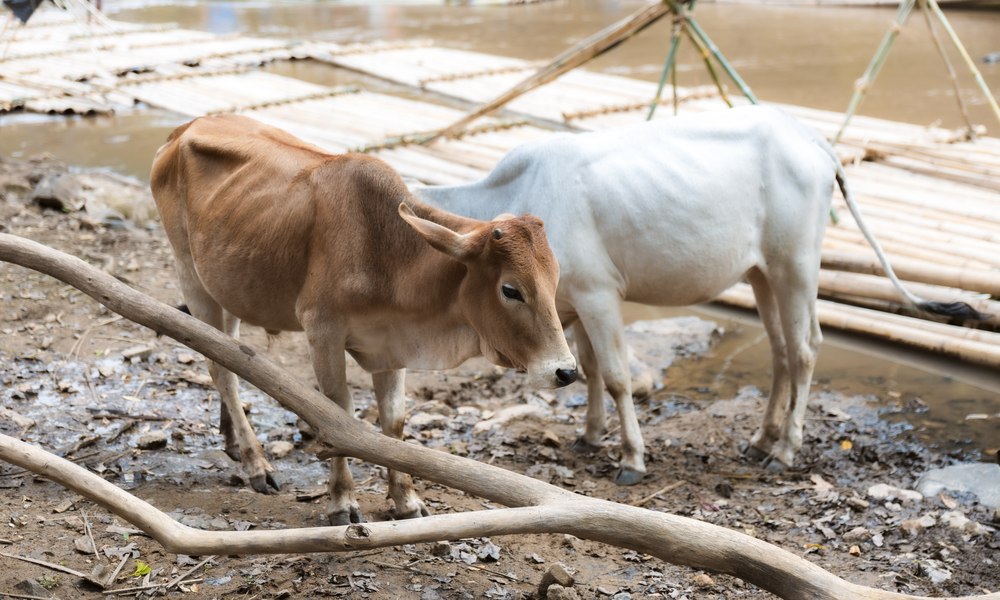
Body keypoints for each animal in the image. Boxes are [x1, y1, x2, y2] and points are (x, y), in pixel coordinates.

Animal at [149, 114, 577, 525]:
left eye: (555, 279)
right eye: (510, 290)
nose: (566, 371)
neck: (387, 252)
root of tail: (183, 129)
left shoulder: (392, 345)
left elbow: (394, 419)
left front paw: (406, 500)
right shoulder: (322, 330)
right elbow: (337, 413)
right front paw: (342, 501)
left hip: (226, 289)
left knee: (226, 355)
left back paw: (233, 442)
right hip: (191, 275)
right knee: (222, 372)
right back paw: (256, 462)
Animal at [415, 105, 979, 485]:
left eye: (510, 288)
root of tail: (808, 135)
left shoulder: (599, 295)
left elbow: (616, 377)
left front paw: (631, 458)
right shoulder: (573, 304)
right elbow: (588, 369)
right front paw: (591, 435)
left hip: (796, 265)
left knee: (805, 349)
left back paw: (785, 450)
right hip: (760, 273)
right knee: (780, 352)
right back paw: (760, 439)